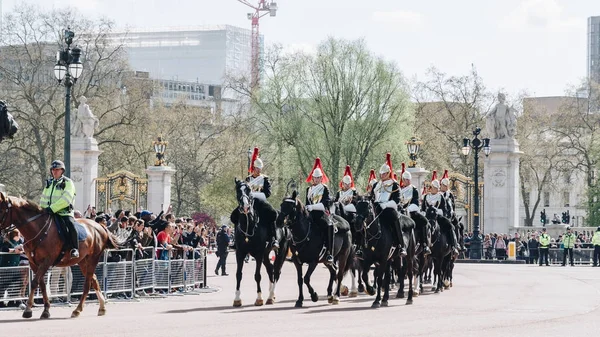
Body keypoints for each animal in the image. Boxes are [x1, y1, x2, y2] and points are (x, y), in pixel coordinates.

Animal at [230, 178, 288, 308]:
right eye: (238, 190)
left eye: (248, 189)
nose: (245, 207)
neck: (248, 225)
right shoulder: (240, 253)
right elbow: (238, 274)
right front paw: (237, 299)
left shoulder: (258, 253)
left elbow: (257, 275)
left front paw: (259, 298)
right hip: (266, 255)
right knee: (270, 269)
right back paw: (271, 295)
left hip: (280, 252)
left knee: (276, 271)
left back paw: (271, 296)